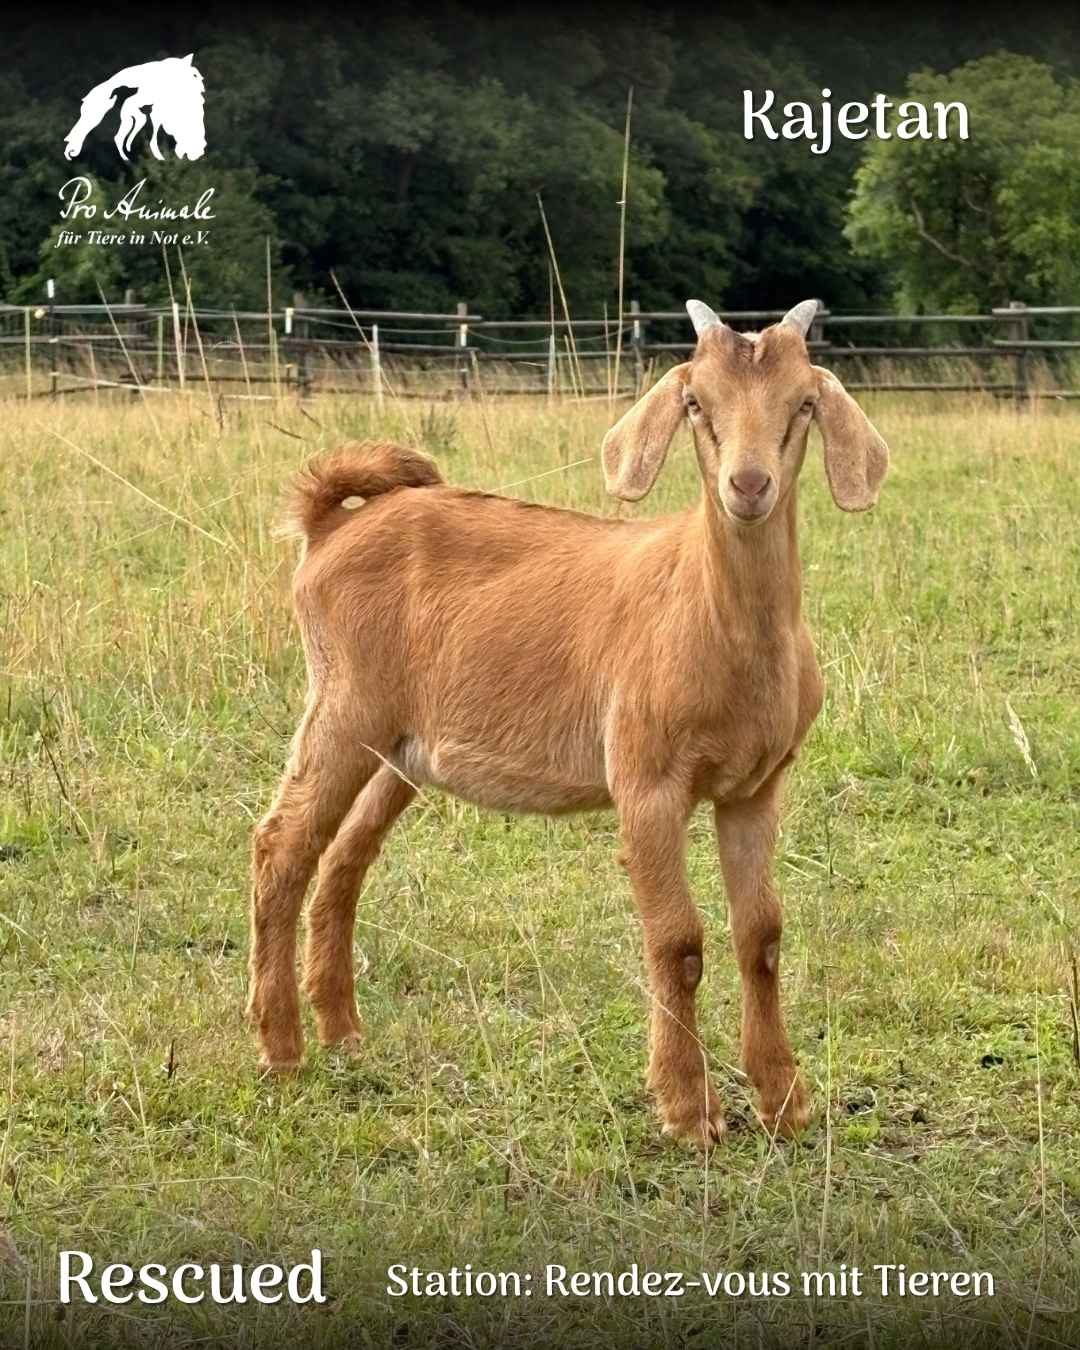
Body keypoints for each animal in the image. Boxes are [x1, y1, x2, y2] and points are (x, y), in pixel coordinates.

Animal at [247, 298, 888, 1147]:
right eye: (696, 403)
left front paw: (784, 1100)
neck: (709, 613)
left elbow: (763, 935)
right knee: (282, 845)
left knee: (344, 860)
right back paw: (282, 1050)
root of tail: (332, 527)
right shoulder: (647, 781)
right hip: (344, 706)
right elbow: (678, 941)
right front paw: (689, 1112)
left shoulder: (754, 788)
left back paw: (344, 1034)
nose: (748, 485)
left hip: (402, 749)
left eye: (805, 404)